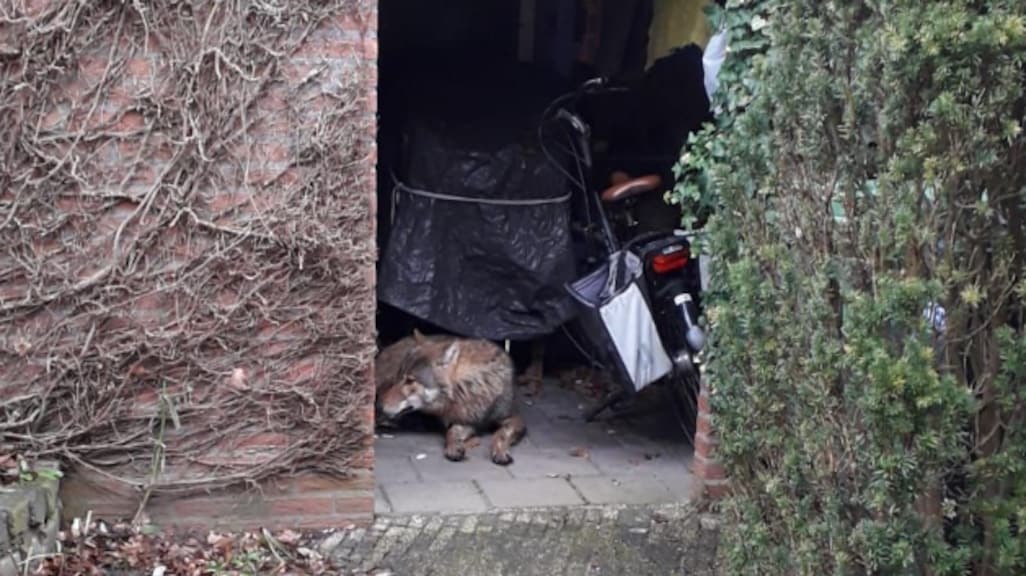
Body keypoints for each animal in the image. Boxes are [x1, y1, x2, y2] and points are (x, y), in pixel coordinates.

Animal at [377, 331, 526, 465]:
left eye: (410, 381)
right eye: (400, 378)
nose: (381, 405)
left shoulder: (513, 418)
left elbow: (502, 434)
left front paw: (500, 451)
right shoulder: (465, 421)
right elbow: (452, 431)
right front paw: (454, 446)